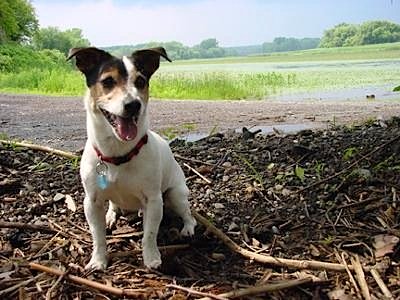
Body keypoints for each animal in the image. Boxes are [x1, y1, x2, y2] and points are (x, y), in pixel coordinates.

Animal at [68, 46, 198, 270]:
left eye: (141, 81)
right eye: (108, 81)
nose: (133, 105)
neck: (118, 154)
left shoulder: (153, 200)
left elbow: (150, 234)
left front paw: (151, 258)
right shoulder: (91, 202)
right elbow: (97, 236)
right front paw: (98, 260)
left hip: (175, 194)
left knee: (186, 212)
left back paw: (188, 227)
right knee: (113, 205)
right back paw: (111, 215)